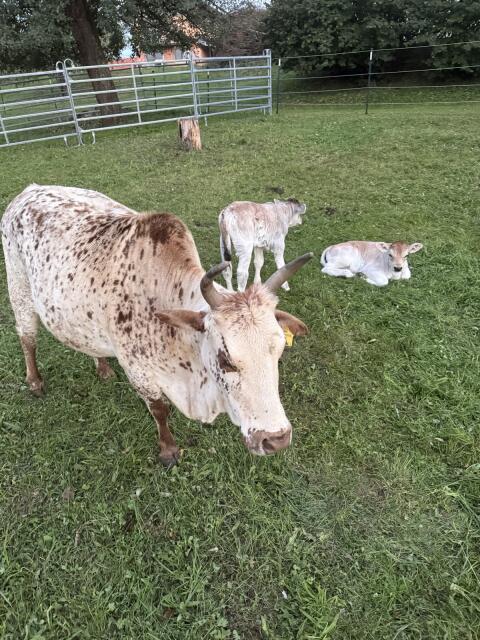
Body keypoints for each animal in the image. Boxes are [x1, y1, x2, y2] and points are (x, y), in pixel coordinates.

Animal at [2, 184, 312, 466]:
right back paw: (35, 382)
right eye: (225, 360)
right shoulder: (138, 371)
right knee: (27, 338)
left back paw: (102, 367)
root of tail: (29, 191)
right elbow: (160, 410)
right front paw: (168, 450)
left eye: (279, 352)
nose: (276, 439)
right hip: (19, 289)